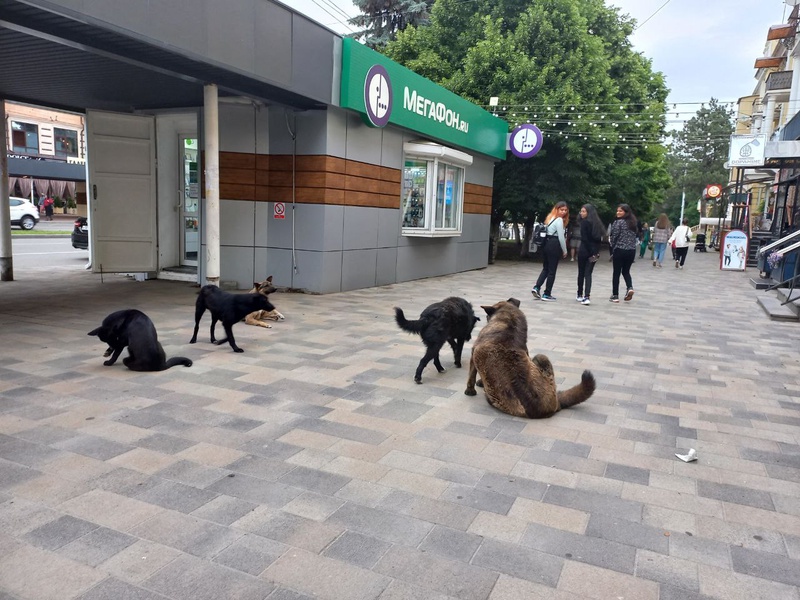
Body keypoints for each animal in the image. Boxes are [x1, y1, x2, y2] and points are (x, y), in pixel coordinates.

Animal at [462, 298, 592, 420]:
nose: (486, 318)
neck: (510, 323)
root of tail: (555, 405)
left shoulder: (474, 353)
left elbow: (471, 376)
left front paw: (471, 389)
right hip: (541, 358)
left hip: (539, 357)